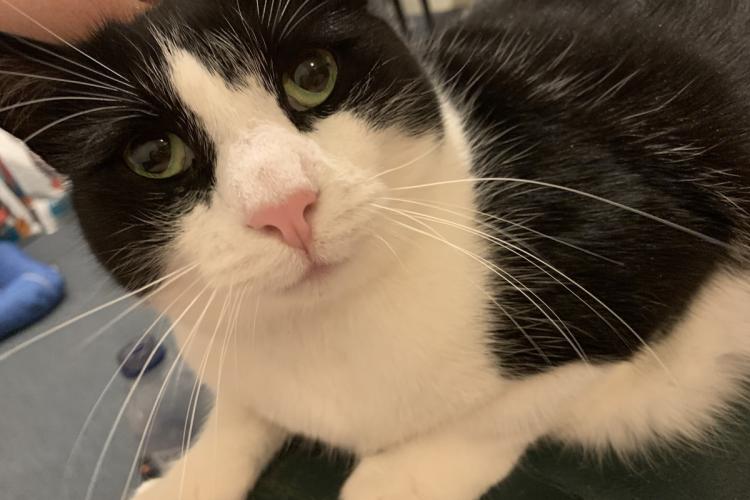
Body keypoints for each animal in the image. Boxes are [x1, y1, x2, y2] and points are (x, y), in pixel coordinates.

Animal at [1, 0, 750, 498]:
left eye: (312, 75)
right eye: (155, 156)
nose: (285, 206)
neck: (325, 330)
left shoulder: (639, 253)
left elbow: (493, 415)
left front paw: (396, 474)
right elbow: (242, 410)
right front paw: (193, 476)